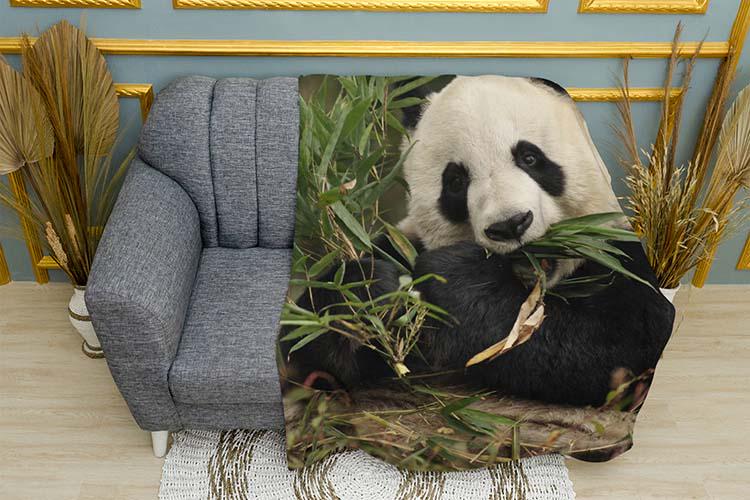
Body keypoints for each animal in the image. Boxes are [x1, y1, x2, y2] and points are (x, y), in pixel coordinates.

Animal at [281, 75, 675, 407]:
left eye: (530, 157)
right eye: (455, 181)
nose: (511, 224)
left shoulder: (617, 254)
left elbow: (618, 342)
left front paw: (459, 282)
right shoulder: (402, 242)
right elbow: (302, 348)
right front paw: (368, 294)